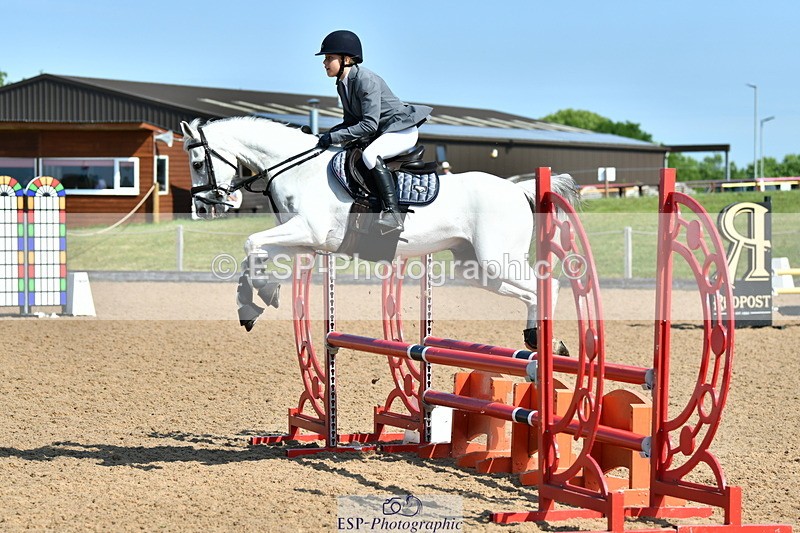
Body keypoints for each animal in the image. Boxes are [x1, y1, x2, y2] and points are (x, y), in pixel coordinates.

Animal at [180, 116, 580, 351]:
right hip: (477, 268)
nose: (202, 206)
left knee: (549, 285)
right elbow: (255, 250)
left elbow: (251, 242)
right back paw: (535, 340)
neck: (297, 169)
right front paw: (256, 299)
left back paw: (548, 344)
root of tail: (517, 188)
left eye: (198, 162)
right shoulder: (305, 239)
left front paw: (259, 296)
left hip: (496, 259)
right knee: (528, 292)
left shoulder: (309, 230)